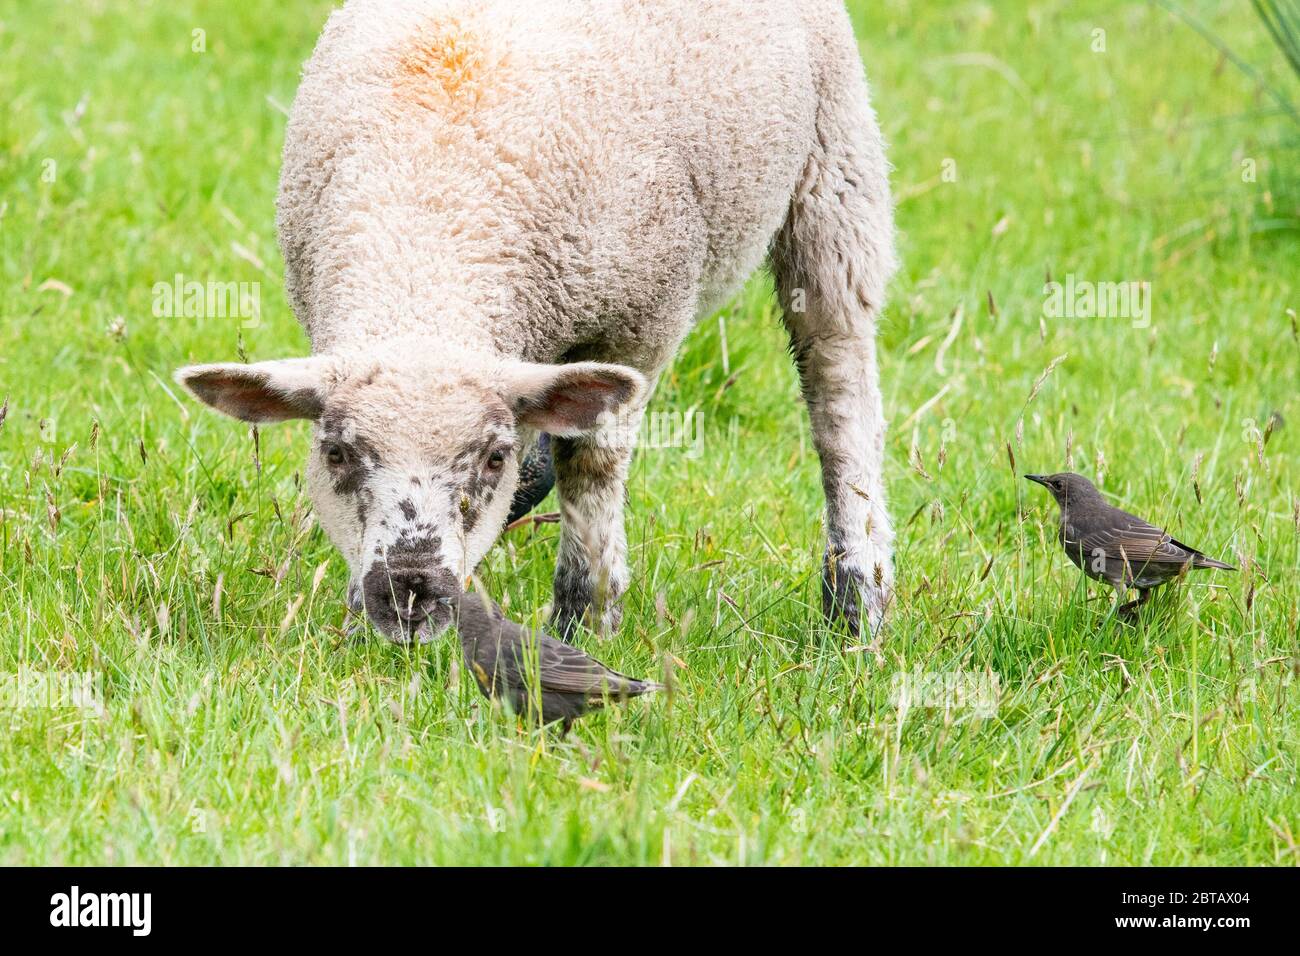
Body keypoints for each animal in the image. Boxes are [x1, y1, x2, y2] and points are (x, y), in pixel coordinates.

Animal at [172, 0, 894, 647]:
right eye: (335, 454)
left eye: (491, 457)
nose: (411, 595)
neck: (431, 216)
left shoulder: (641, 320)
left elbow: (592, 466)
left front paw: (587, 619)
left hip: (834, 161)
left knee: (838, 386)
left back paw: (857, 599)